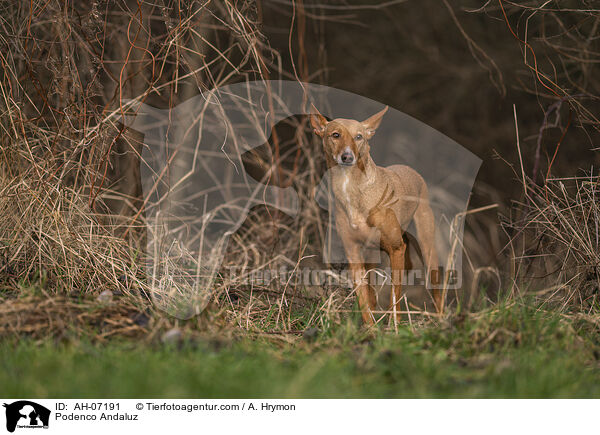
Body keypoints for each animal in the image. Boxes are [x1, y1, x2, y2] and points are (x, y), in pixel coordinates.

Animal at [310, 104, 440, 324]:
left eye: (359, 137)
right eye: (335, 135)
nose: (347, 156)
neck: (352, 189)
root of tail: (411, 170)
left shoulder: (397, 249)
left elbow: (395, 296)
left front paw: (394, 326)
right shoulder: (353, 253)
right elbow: (363, 298)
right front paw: (370, 327)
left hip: (427, 249)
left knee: (438, 292)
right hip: (371, 256)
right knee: (371, 292)